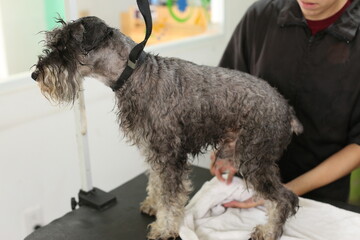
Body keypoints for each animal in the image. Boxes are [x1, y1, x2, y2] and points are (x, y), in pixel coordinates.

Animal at [32, 16, 304, 240]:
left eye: (65, 47)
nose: (36, 74)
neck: (135, 74)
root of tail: (287, 110)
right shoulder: (153, 151)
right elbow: (156, 182)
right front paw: (153, 205)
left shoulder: (169, 155)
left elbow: (171, 197)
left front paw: (165, 228)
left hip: (253, 160)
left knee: (284, 198)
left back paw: (268, 231)